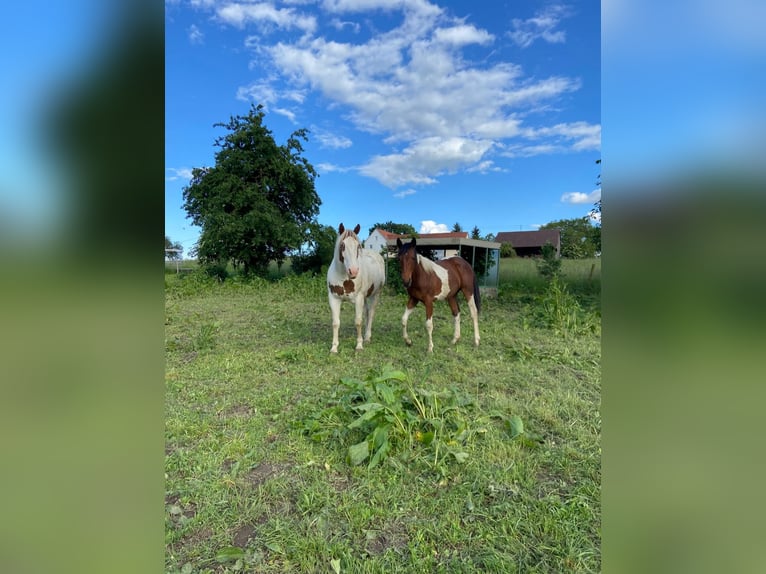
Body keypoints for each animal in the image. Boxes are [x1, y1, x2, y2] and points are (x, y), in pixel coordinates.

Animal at [327, 223, 386, 353]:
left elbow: (358, 322)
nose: (353, 271)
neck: (343, 278)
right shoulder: (334, 299)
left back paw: (367, 337)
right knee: (367, 313)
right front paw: (334, 347)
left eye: (358, 246)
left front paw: (359, 345)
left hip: (375, 294)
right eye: (342, 245)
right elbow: (335, 323)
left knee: (371, 314)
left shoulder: (359, 299)